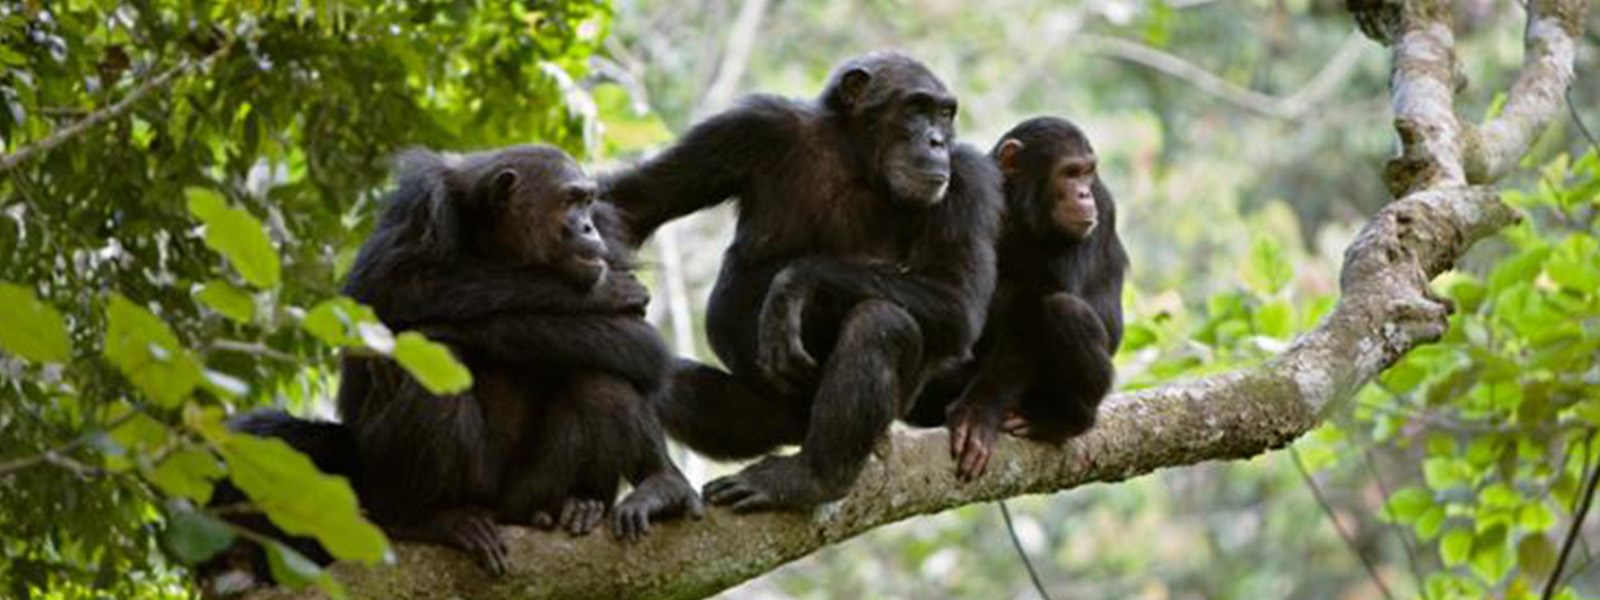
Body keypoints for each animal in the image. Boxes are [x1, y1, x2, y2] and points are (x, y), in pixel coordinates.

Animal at [604, 52, 1004, 512]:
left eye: (944, 113)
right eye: (916, 108)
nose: (937, 141)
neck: (856, 161)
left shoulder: (969, 180)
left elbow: (956, 299)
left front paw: (792, 285)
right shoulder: (749, 127)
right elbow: (632, 205)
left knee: (881, 322)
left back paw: (811, 478)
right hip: (774, 418)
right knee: (666, 379)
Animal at [908, 115, 1132, 483]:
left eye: (1087, 173)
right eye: (1070, 172)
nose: (1083, 193)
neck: (1017, 210)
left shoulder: (1101, 206)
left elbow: (1033, 308)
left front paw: (977, 415)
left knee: (1063, 310)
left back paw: (1062, 420)